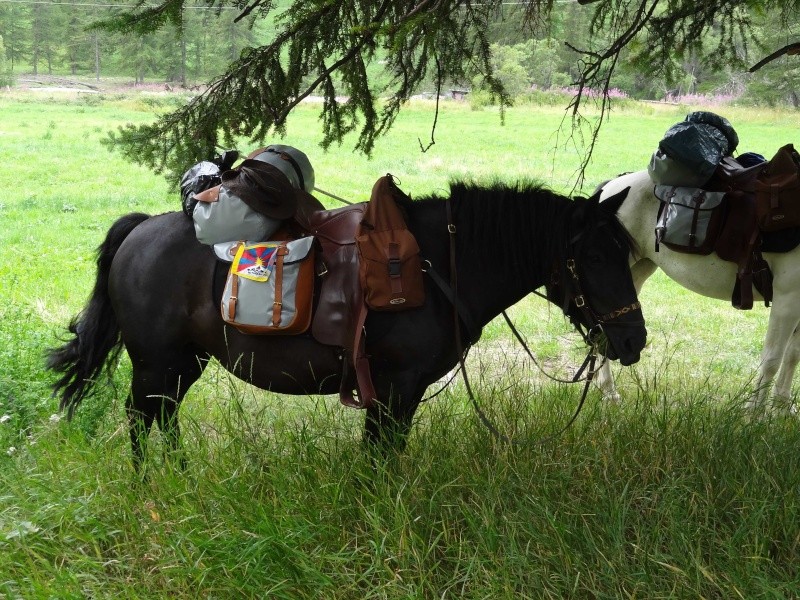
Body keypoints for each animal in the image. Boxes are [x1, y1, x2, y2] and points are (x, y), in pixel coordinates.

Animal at [48, 180, 644, 466]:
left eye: (628, 252)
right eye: (594, 257)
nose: (633, 338)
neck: (437, 265)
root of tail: (139, 230)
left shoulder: (388, 392)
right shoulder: (397, 388)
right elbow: (383, 456)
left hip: (184, 362)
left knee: (163, 417)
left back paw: (180, 477)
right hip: (156, 362)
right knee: (140, 421)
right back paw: (150, 486)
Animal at [592, 169, 800, 412]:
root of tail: (611, 185)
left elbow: (792, 355)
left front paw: (782, 407)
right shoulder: (787, 300)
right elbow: (772, 360)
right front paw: (753, 413)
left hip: (637, 271)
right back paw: (608, 391)